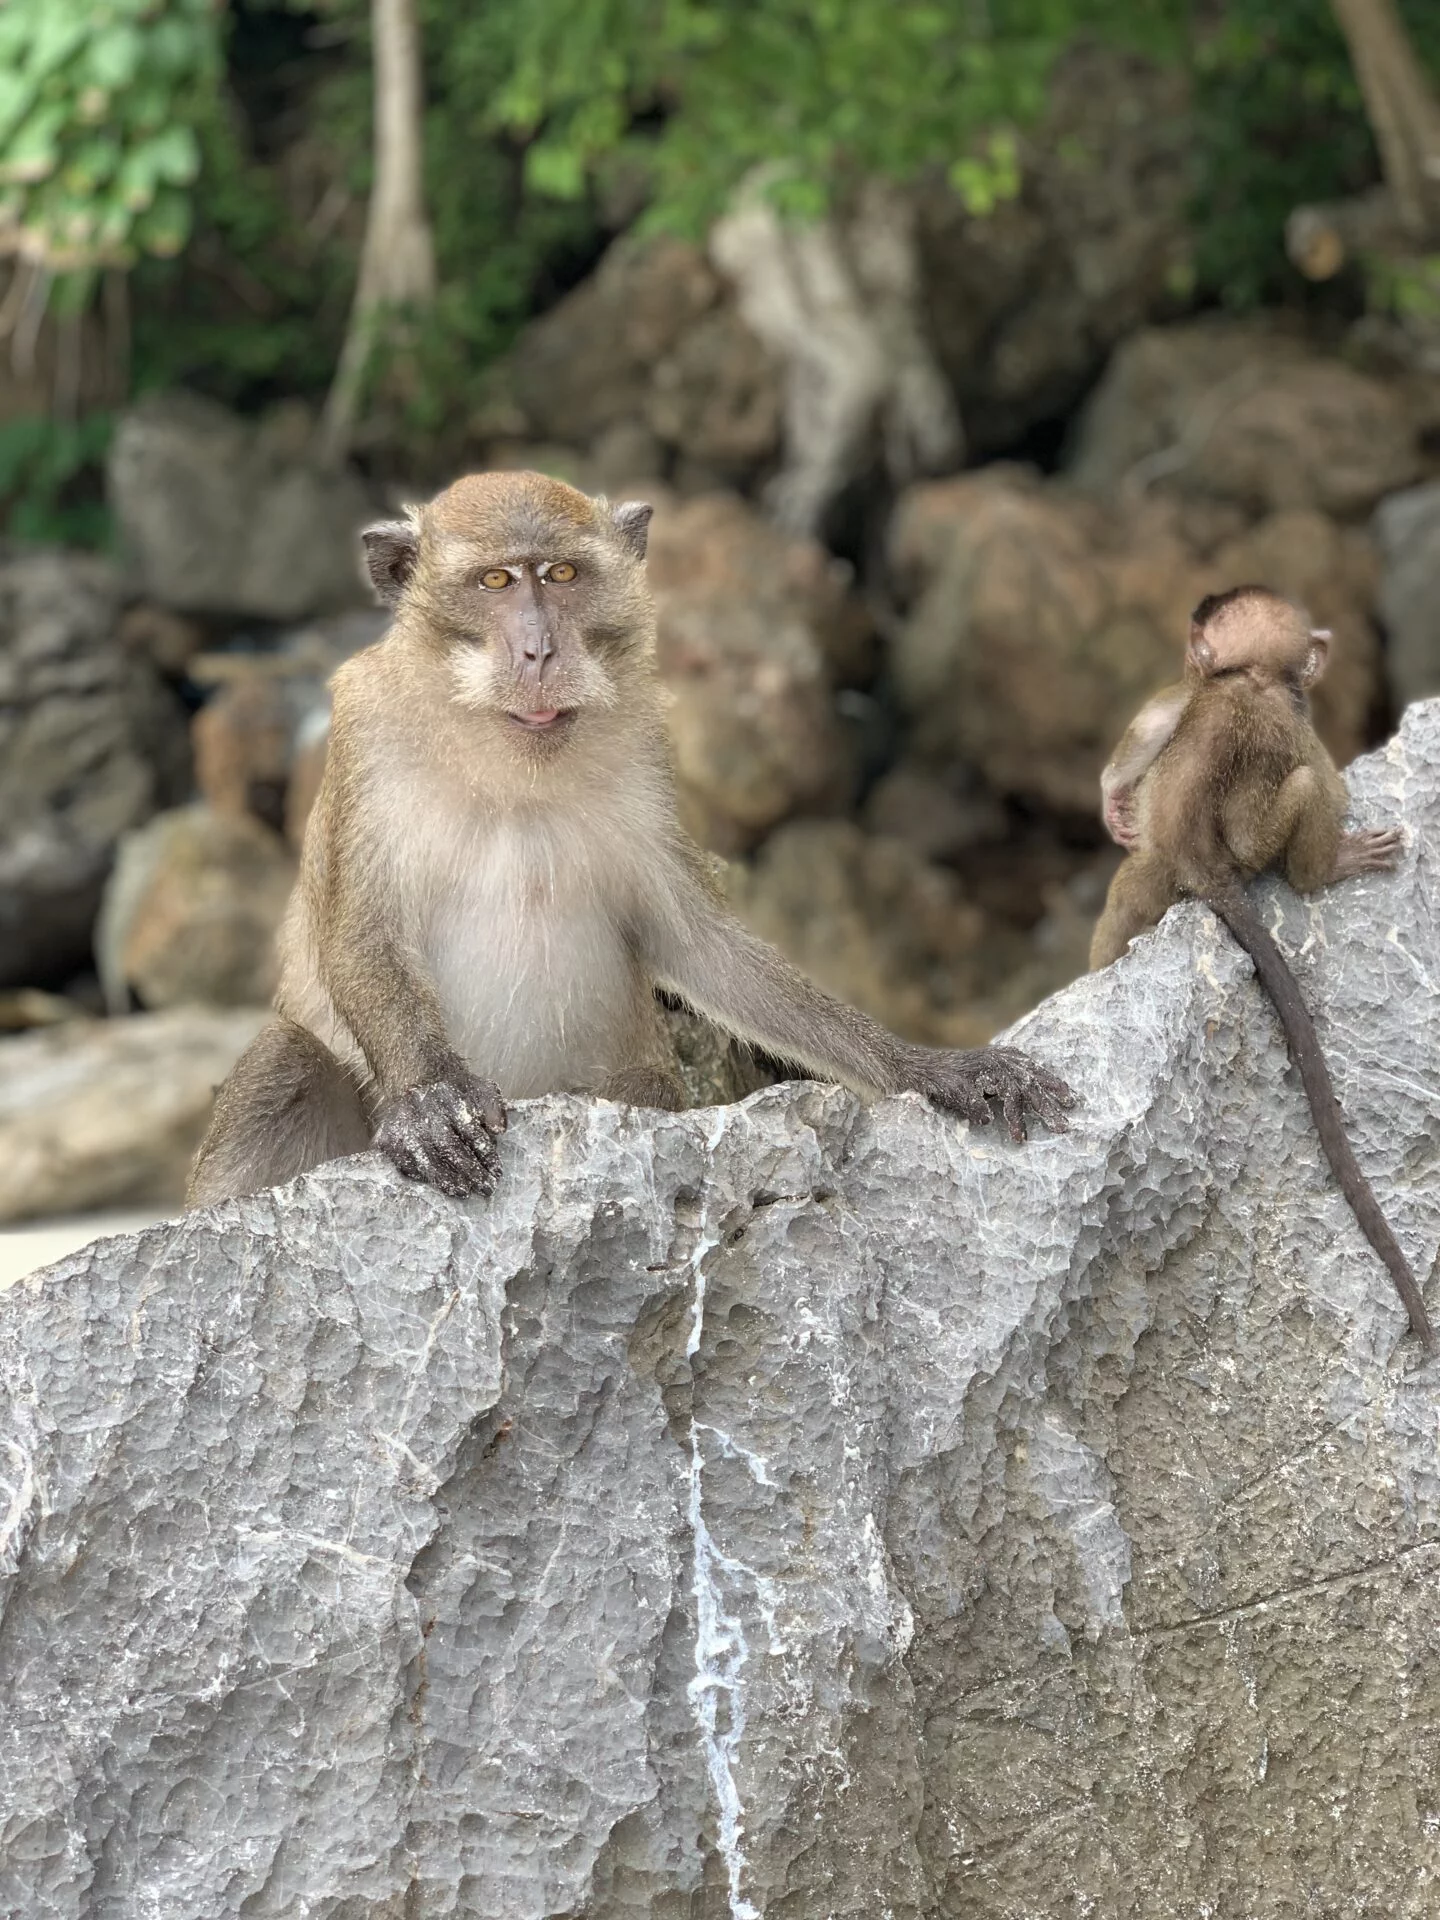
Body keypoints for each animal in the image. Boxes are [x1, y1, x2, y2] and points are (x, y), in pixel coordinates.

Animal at [188, 470, 1072, 1210]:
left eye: (563, 576)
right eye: (495, 581)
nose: (539, 649)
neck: (508, 763)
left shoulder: (647, 746)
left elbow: (702, 943)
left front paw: (929, 1068)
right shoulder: (363, 740)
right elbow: (361, 933)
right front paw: (431, 1100)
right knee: (287, 1060)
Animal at [1089, 585, 1432, 1349]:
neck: (1248, 678)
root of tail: (1199, 865)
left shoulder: (1204, 689)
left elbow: (1157, 724)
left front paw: (1114, 797)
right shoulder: (1284, 715)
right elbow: (1310, 776)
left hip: (1157, 872)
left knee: (1128, 890)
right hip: (1248, 847)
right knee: (1304, 785)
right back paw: (1324, 867)